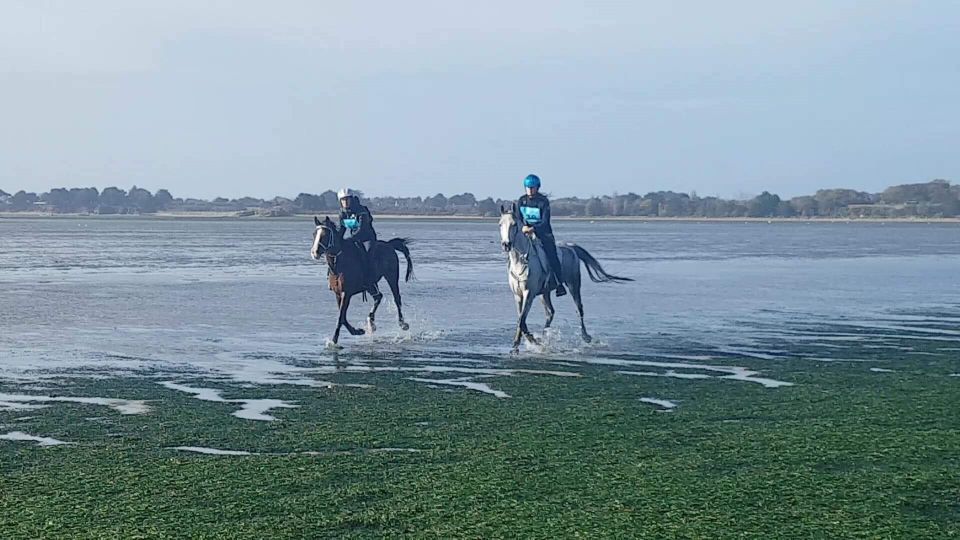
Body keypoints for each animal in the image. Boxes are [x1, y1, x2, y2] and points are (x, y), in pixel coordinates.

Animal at [310, 216, 410, 346]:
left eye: (325, 235)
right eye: (314, 234)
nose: (314, 252)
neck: (339, 264)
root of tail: (389, 245)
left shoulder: (346, 293)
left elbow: (341, 317)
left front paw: (334, 340)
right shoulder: (338, 293)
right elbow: (343, 317)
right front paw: (357, 331)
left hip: (392, 277)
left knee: (396, 298)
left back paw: (403, 324)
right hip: (371, 284)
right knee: (378, 296)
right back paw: (371, 323)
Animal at [498, 205, 632, 352]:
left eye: (514, 224)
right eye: (500, 224)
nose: (506, 244)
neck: (521, 261)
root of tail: (570, 247)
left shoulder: (529, 294)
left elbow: (521, 320)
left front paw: (531, 341)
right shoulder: (518, 295)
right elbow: (520, 319)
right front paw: (521, 343)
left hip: (574, 284)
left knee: (579, 309)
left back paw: (585, 336)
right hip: (544, 292)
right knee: (550, 312)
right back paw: (544, 337)